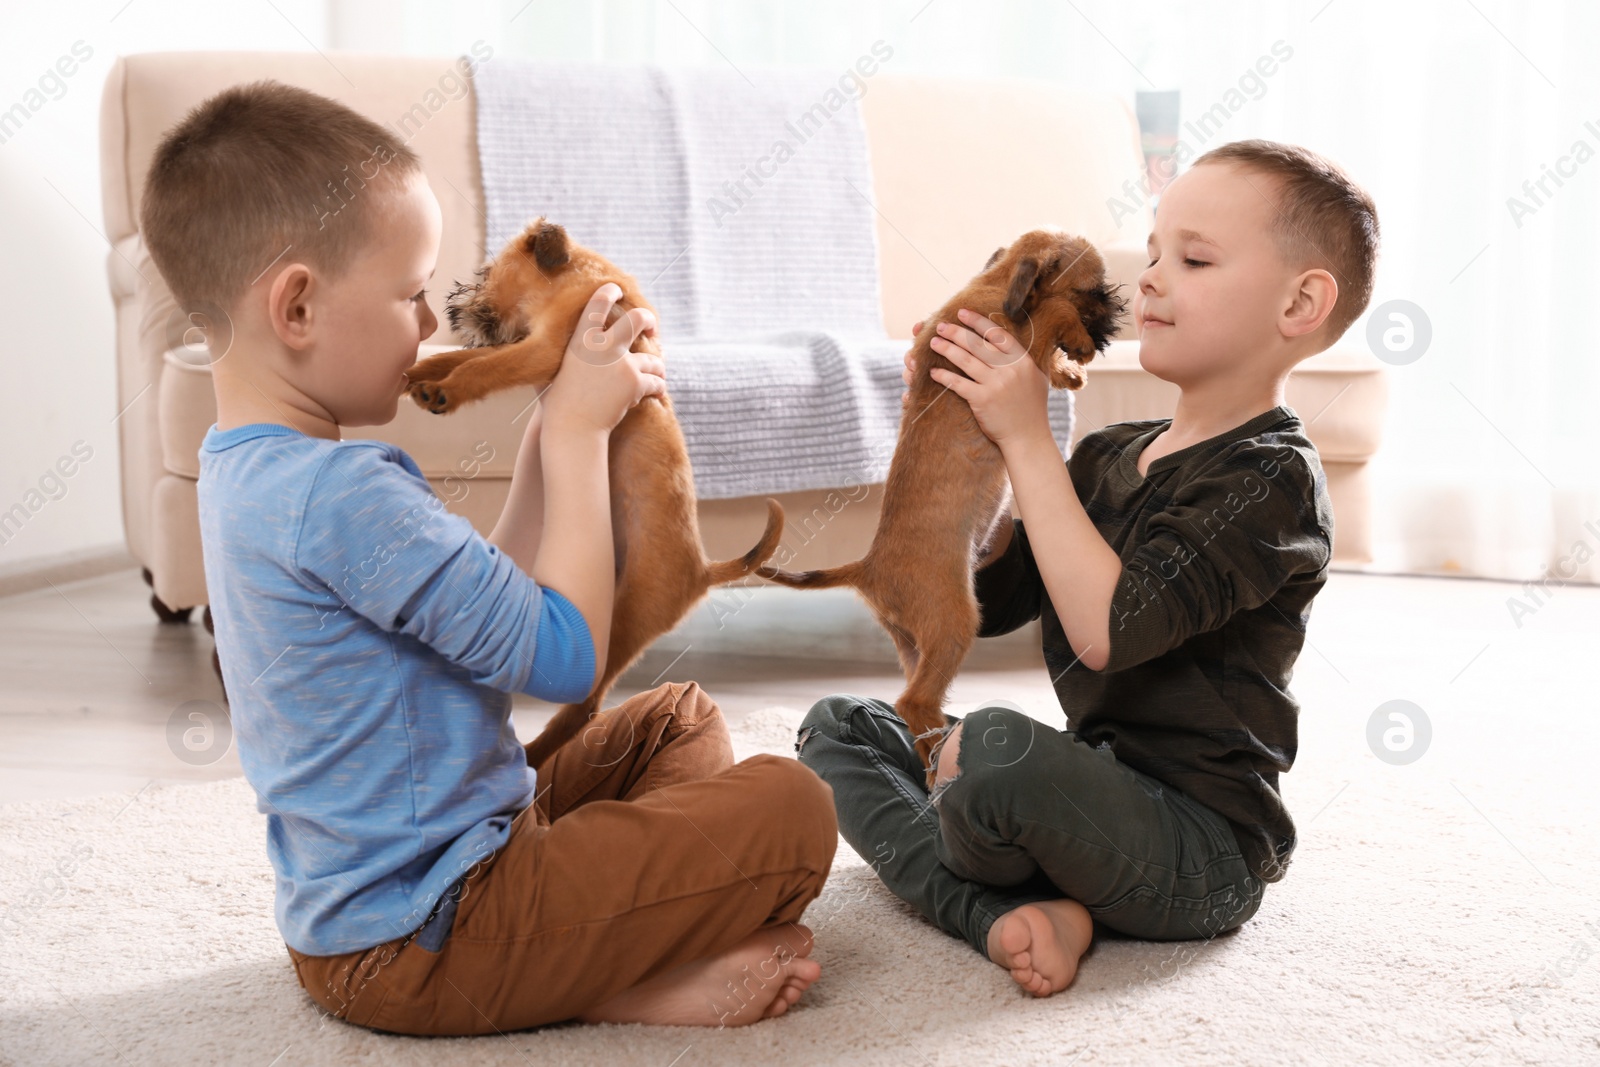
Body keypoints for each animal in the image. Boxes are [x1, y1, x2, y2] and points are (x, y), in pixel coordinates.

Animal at [403, 219, 784, 767]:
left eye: (486, 273)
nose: (453, 303)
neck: (576, 278)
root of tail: (703, 569)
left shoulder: (540, 350)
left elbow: (480, 366)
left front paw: (444, 390)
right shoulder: (527, 344)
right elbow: (465, 355)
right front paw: (418, 373)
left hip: (621, 625)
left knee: (584, 708)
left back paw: (535, 756)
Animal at [761, 230, 1126, 777]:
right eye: (1094, 291)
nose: (1117, 314)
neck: (997, 286)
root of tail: (867, 567)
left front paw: (1070, 374)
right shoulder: (1023, 339)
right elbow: (1053, 316)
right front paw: (1076, 350)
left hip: (914, 644)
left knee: (913, 702)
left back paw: (937, 756)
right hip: (954, 623)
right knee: (913, 702)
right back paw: (945, 751)